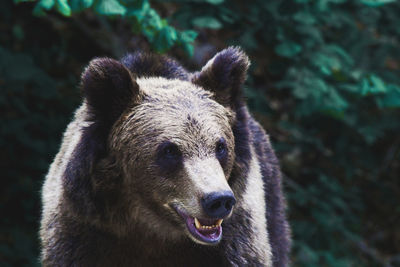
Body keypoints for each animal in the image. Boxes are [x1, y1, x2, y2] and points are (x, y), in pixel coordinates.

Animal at [40, 47, 290, 266]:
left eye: (221, 146)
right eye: (169, 150)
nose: (218, 200)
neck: (154, 229)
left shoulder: (235, 240)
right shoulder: (83, 230)